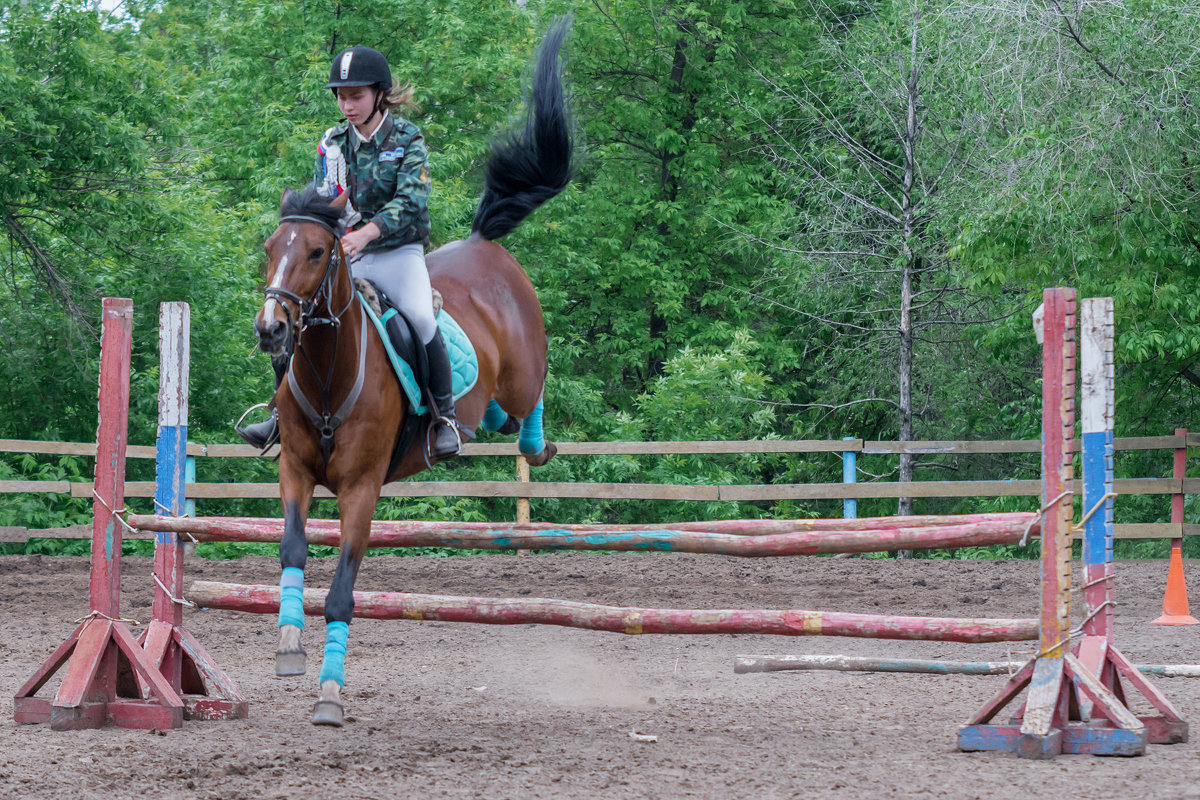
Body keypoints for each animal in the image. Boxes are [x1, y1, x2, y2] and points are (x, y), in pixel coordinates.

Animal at [250, 21, 573, 729]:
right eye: (271, 248)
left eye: (318, 251)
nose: (272, 330)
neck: (328, 377)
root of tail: (485, 244)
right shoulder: (295, 471)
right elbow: (291, 551)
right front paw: (287, 644)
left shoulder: (362, 490)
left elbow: (341, 593)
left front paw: (330, 694)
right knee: (495, 412)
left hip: (524, 367)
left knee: (530, 397)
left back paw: (534, 443)